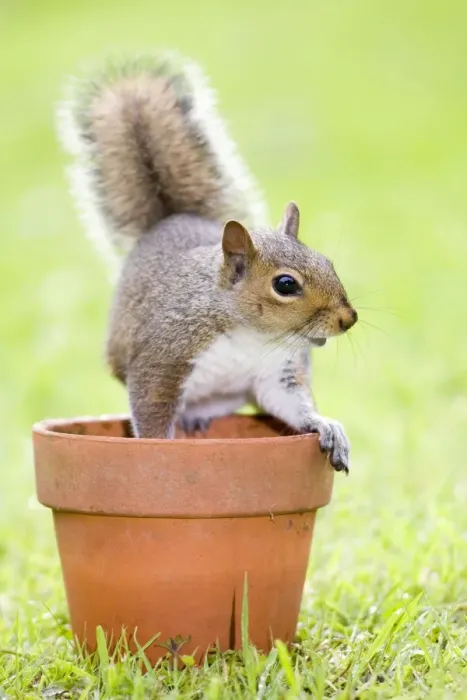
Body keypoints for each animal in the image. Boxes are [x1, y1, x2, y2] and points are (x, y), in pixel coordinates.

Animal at [57, 52, 358, 473]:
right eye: (285, 285)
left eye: (328, 262)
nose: (349, 318)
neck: (251, 335)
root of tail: (171, 219)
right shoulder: (163, 355)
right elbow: (151, 408)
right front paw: (157, 450)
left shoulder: (276, 372)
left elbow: (290, 403)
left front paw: (326, 426)